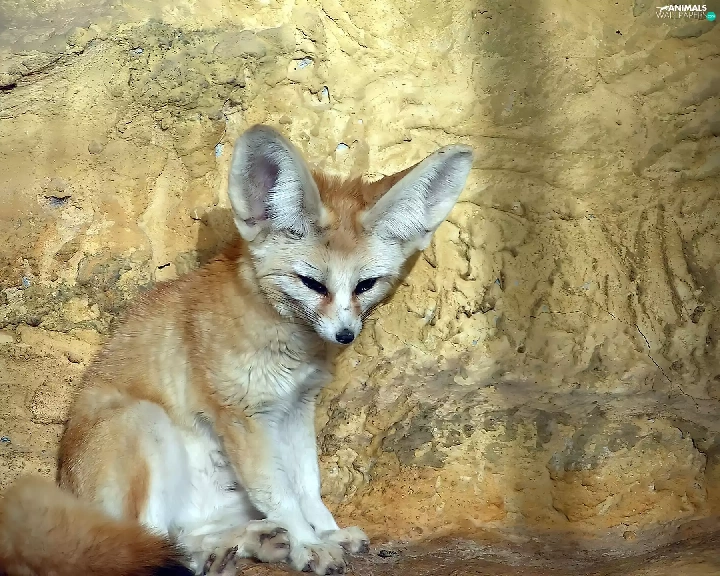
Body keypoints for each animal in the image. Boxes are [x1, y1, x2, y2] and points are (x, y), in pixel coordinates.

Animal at [0, 125, 473, 576]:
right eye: (312, 283)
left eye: (365, 285)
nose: (345, 335)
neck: (287, 341)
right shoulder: (244, 417)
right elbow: (281, 495)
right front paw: (309, 546)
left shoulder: (296, 408)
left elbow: (307, 486)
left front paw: (326, 533)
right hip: (145, 423)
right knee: (149, 543)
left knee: (182, 535)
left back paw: (246, 542)